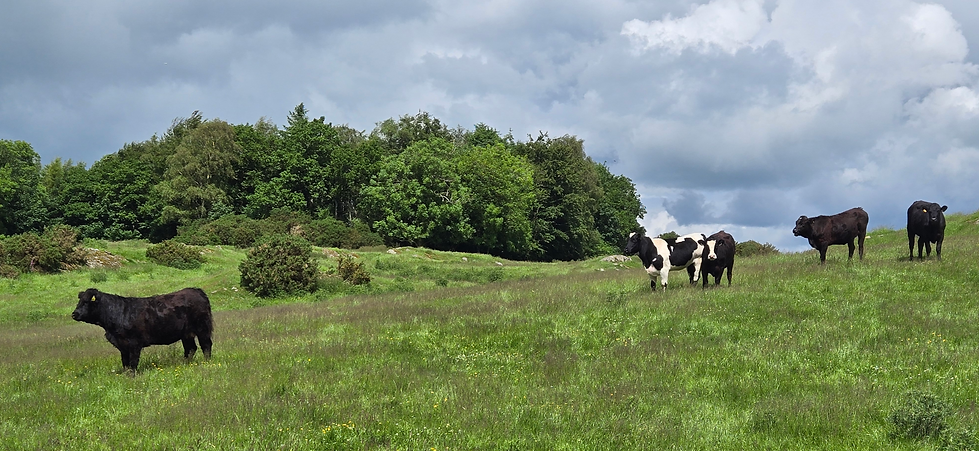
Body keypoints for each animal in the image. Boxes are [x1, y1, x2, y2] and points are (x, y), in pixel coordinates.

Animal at [71, 287, 214, 374]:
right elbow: (125, 362)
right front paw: (126, 375)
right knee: (190, 348)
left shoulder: (134, 343)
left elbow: (133, 361)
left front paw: (132, 376)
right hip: (186, 334)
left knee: (206, 345)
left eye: (86, 302)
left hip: (202, 328)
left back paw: (207, 362)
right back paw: (184, 364)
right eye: (79, 302)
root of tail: (196, 290)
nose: (74, 314)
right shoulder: (122, 345)